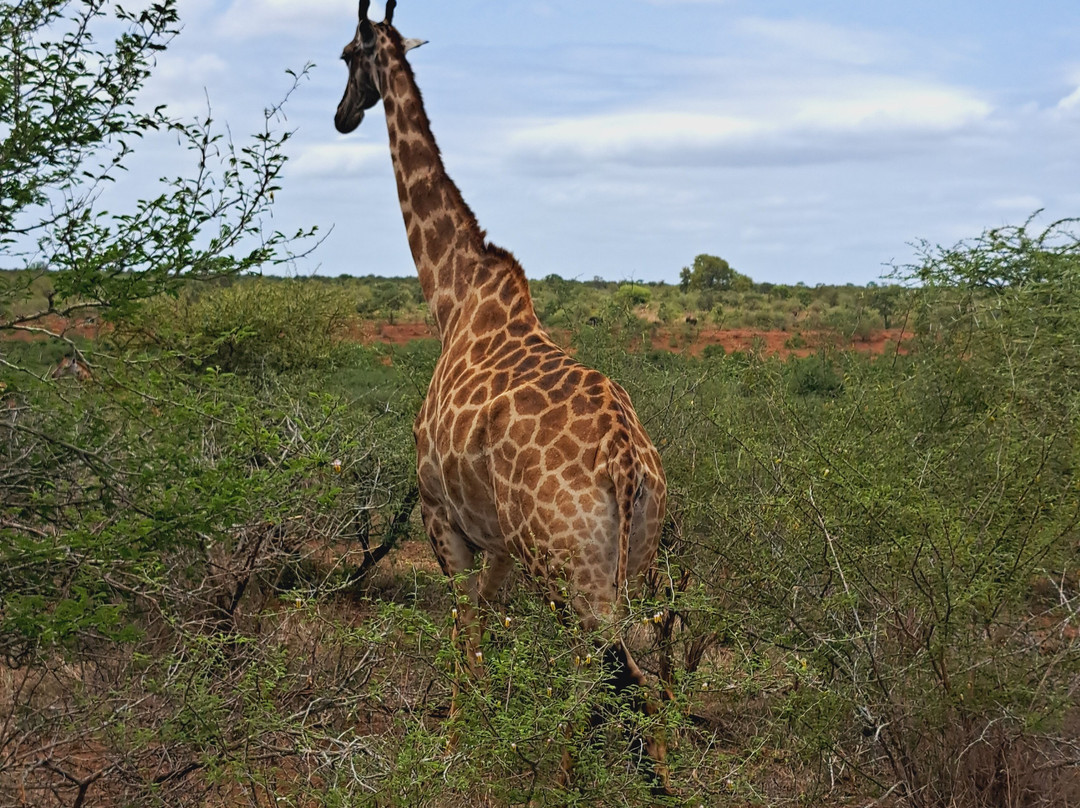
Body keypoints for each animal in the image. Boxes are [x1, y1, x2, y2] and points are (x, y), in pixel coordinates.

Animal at [334, 0, 665, 782]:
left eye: (346, 57)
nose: (341, 117)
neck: (451, 298)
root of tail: (626, 464)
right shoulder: (500, 542)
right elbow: (485, 620)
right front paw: (483, 730)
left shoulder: (439, 515)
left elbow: (462, 626)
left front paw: (455, 744)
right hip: (631, 557)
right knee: (645, 666)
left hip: (571, 570)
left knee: (595, 663)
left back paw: (560, 777)